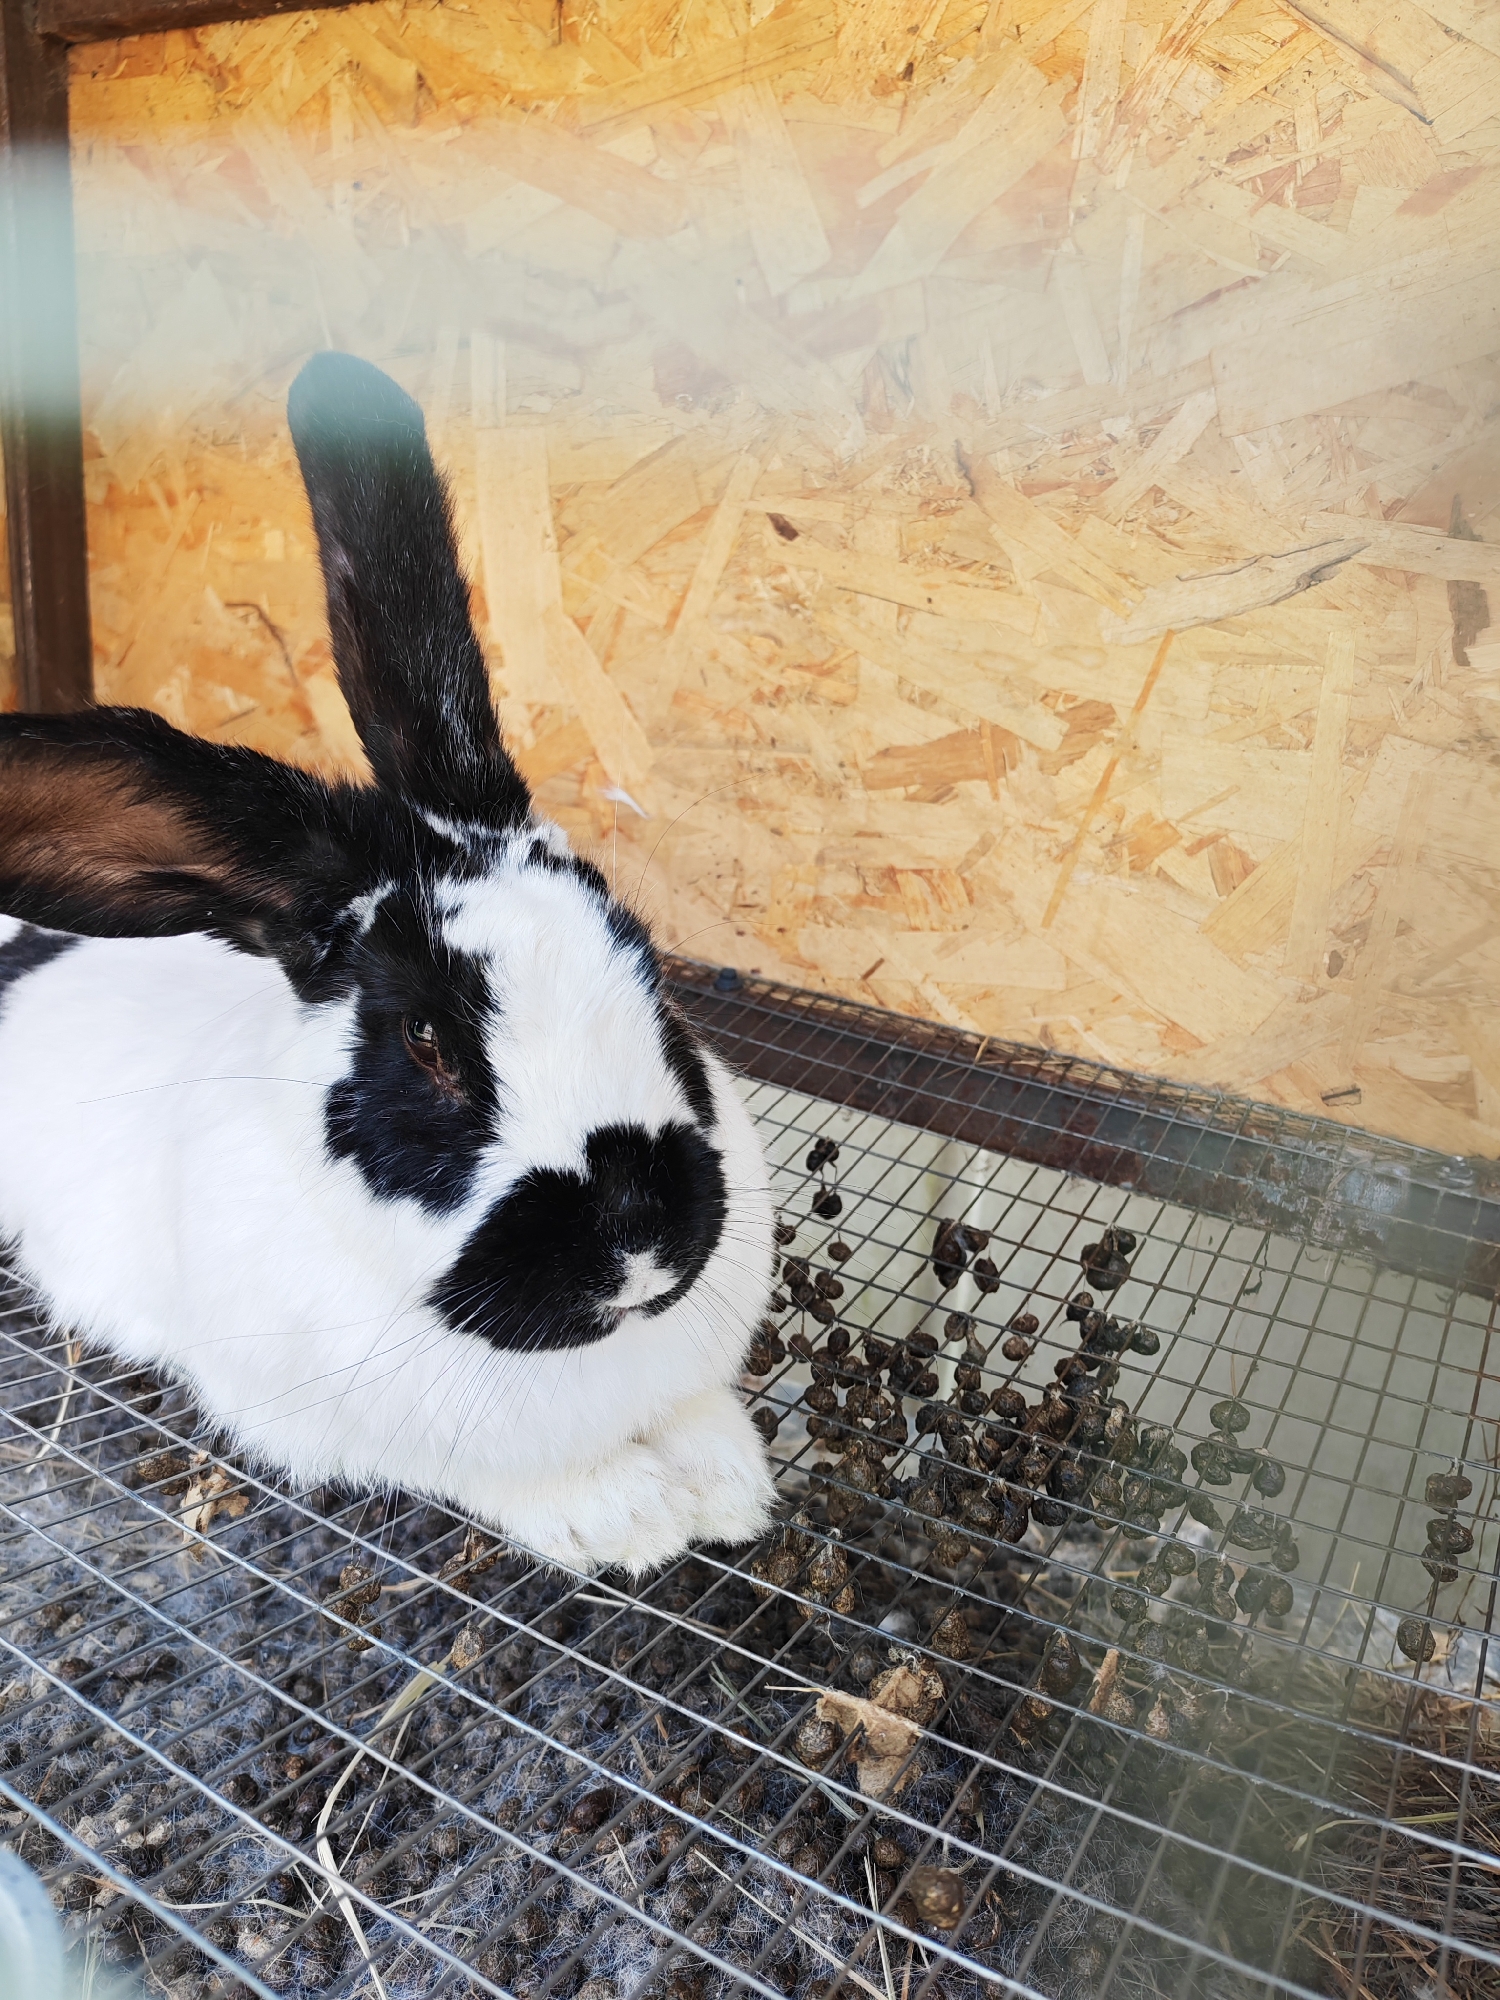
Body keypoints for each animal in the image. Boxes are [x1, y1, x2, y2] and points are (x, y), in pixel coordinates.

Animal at [0, 351, 778, 1576]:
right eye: (425, 1039)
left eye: (647, 965)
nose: (642, 1248)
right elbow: (507, 1477)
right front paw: (629, 1518)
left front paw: (733, 1487)